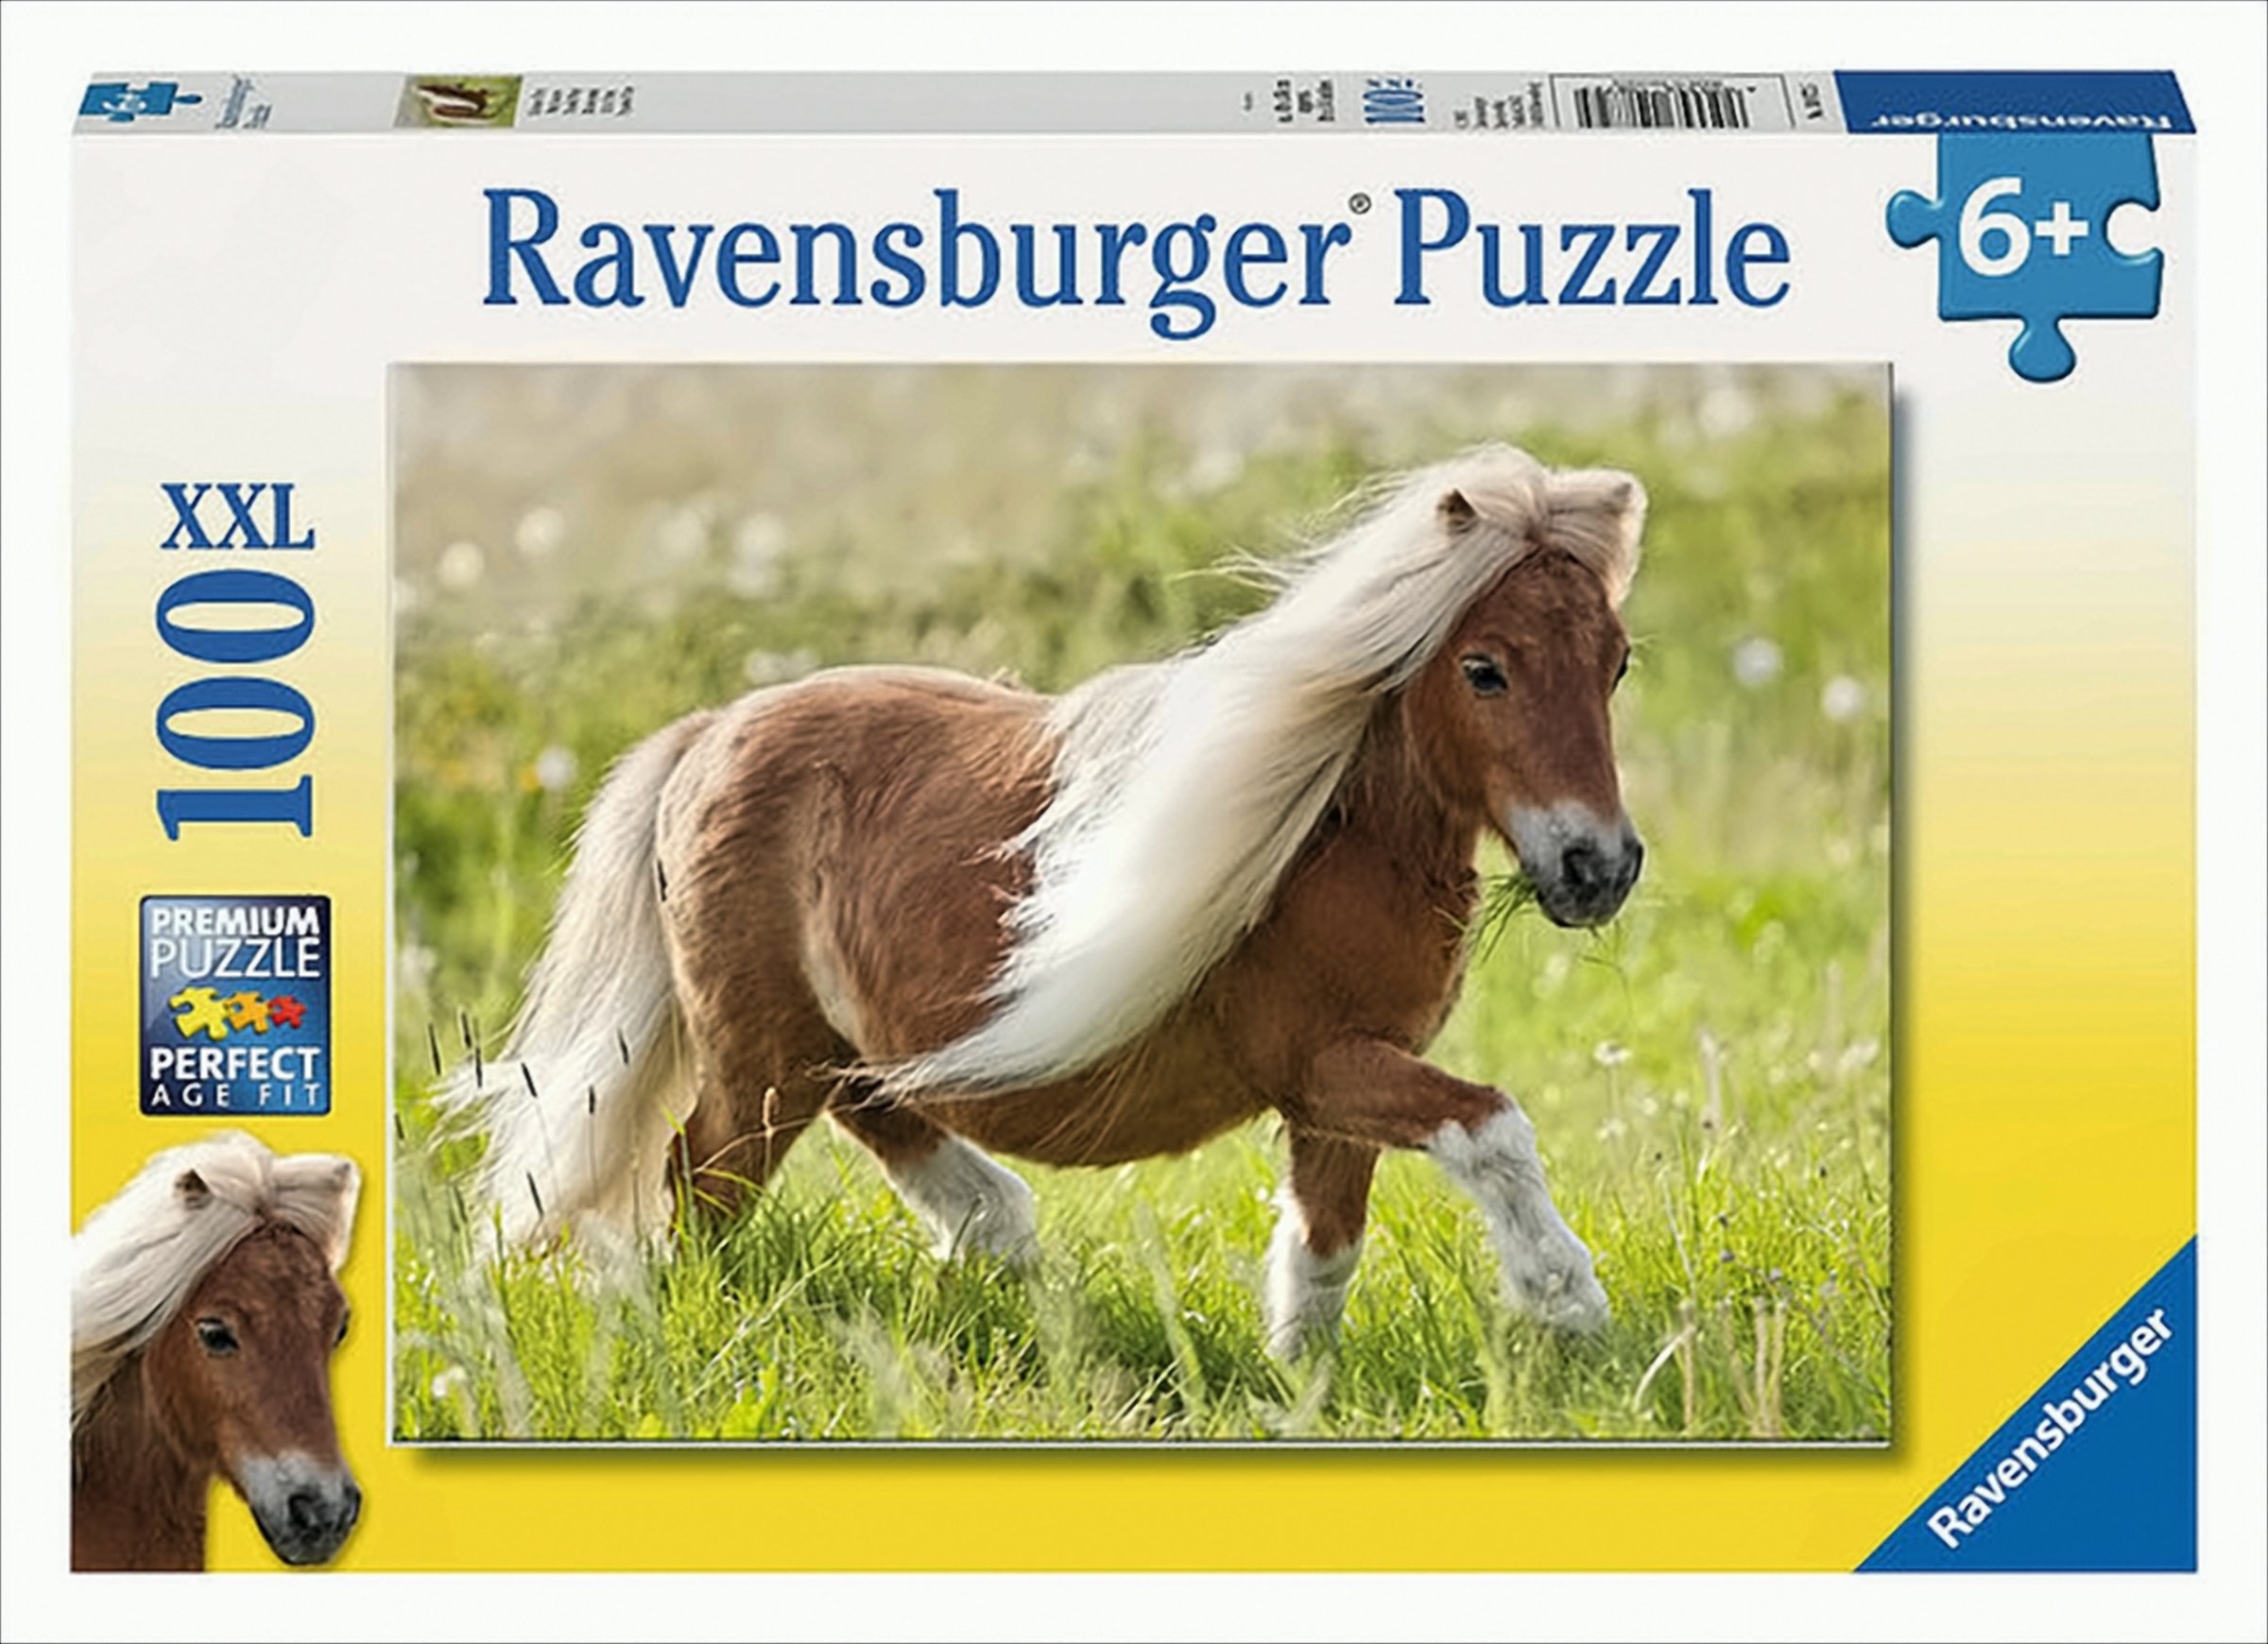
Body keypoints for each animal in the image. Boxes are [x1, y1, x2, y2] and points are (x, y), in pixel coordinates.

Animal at [441, 443, 1646, 1358]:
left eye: (1619, 663)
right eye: (1484, 668)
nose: (1599, 867)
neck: (1330, 837)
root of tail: (706, 736)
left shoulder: (1334, 1095)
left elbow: (1323, 1253)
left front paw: (1302, 1387)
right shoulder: (1326, 1063)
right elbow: (1491, 1128)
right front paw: (1572, 1304)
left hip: (829, 1047)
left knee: (886, 1125)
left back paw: (1003, 1248)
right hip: (759, 1060)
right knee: (700, 1188)